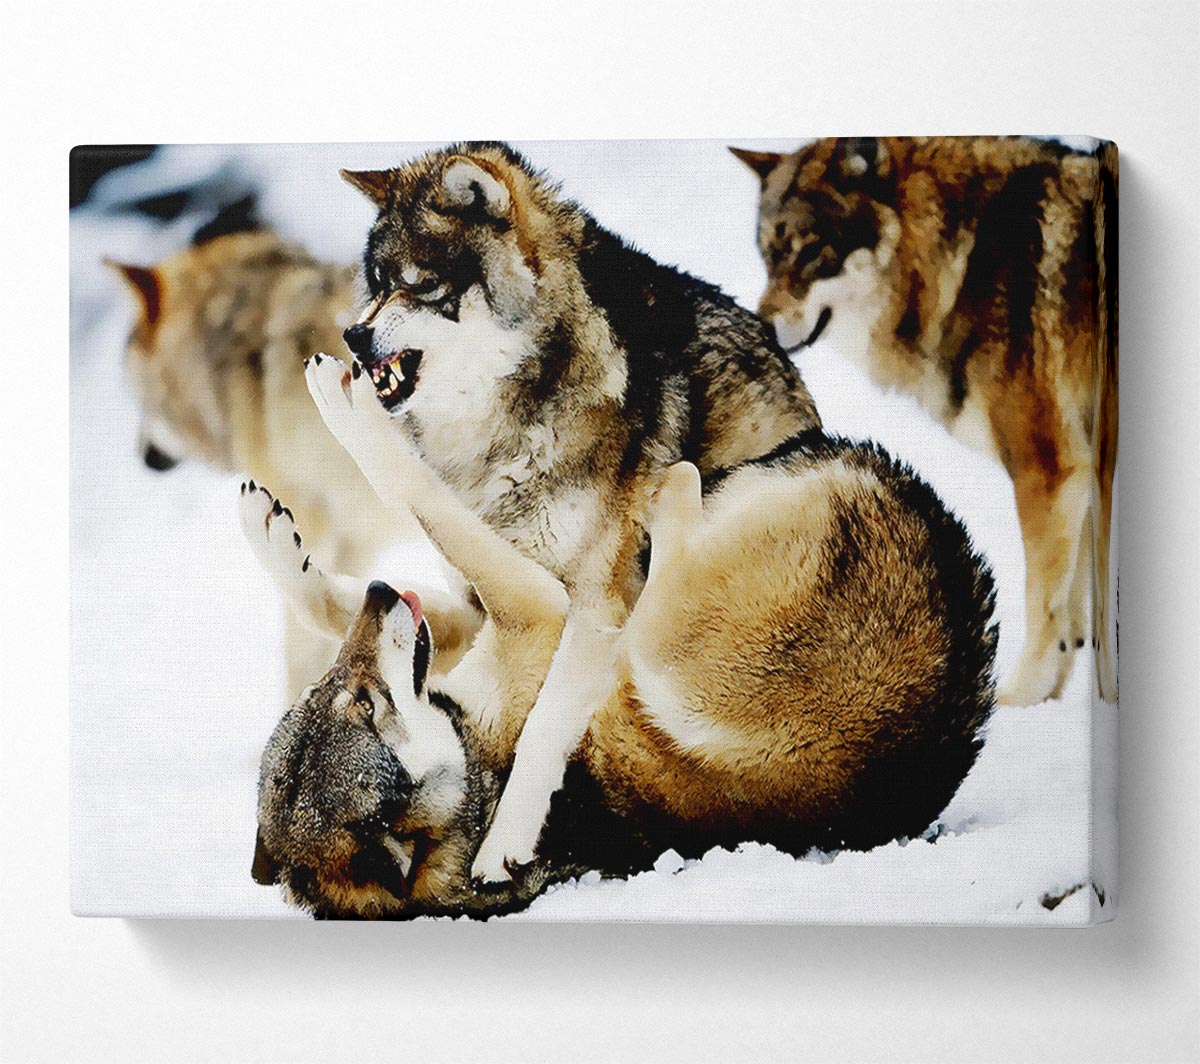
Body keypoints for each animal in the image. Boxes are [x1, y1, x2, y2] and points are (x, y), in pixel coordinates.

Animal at [239, 373, 996, 918]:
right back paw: (670, 495)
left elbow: (334, 596)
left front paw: (273, 531)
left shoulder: (500, 622)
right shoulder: (542, 611)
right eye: (363, 705)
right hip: (659, 645)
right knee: (670, 532)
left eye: (341, 694)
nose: (381, 593)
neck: (472, 769)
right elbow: (416, 494)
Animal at [332, 142, 822, 882]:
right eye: (378, 282)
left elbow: (541, 727)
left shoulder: (596, 606)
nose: (353, 337)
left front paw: (501, 848)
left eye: (420, 284)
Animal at [732, 137, 1117, 706]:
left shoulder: (1048, 472)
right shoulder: (1080, 477)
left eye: (813, 251)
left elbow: (1046, 612)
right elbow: (1075, 619)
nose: (758, 324)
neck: (965, 259)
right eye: (768, 255)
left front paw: (1017, 704)